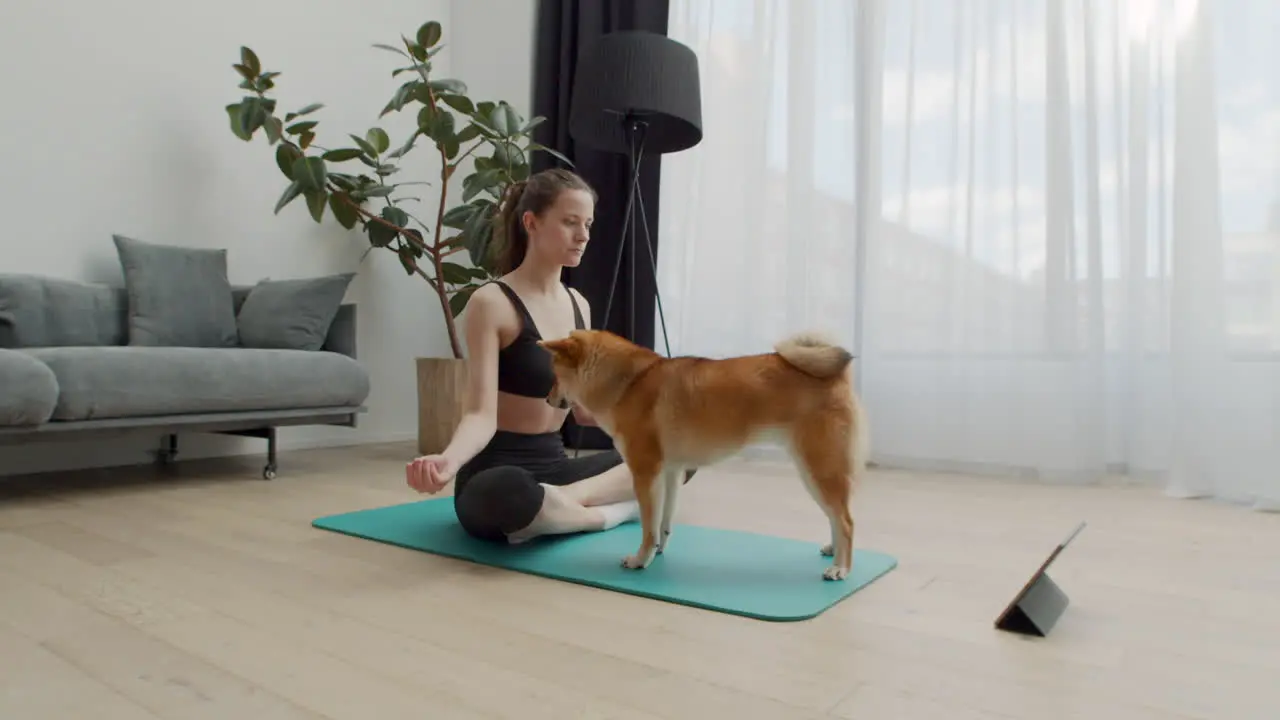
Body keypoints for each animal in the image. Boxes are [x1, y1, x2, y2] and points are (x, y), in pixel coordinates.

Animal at [535, 327, 865, 579]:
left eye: (554, 374)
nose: (547, 399)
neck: (629, 383)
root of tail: (837, 377)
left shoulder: (645, 472)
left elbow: (648, 527)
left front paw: (640, 560)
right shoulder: (671, 471)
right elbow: (664, 522)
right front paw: (659, 552)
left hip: (819, 469)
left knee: (847, 521)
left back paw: (841, 568)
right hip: (812, 470)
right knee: (836, 516)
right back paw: (833, 552)